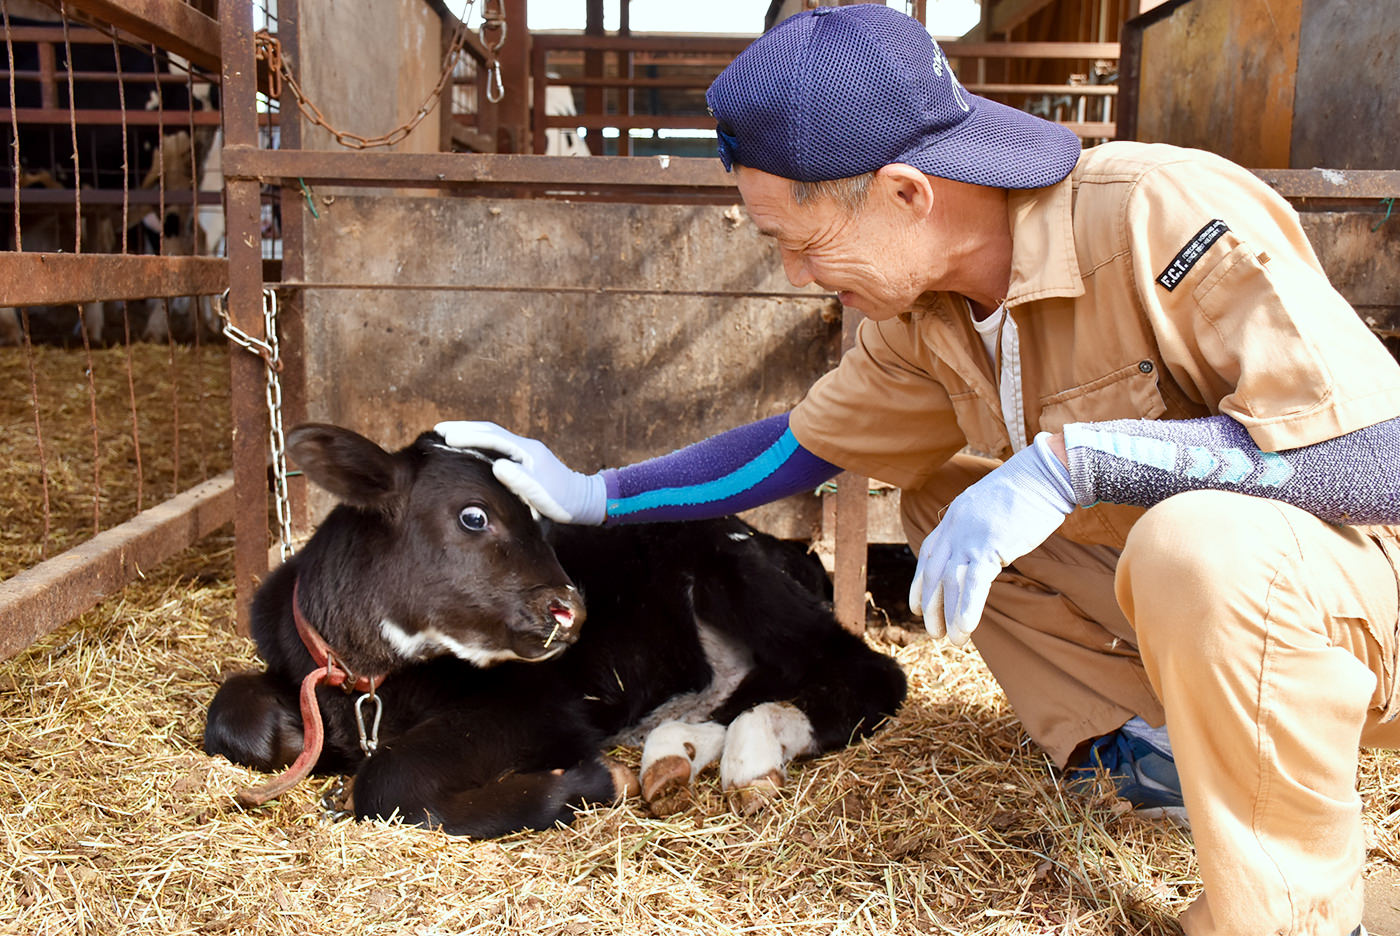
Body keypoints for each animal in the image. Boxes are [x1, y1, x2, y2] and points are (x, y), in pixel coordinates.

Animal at [207, 422, 907, 833]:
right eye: (473, 516)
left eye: (541, 519)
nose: (573, 607)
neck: (372, 682)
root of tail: (784, 545)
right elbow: (234, 716)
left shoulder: (539, 702)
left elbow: (390, 781)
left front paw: (586, 782)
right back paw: (674, 751)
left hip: (736, 572)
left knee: (867, 671)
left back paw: (755, 750)